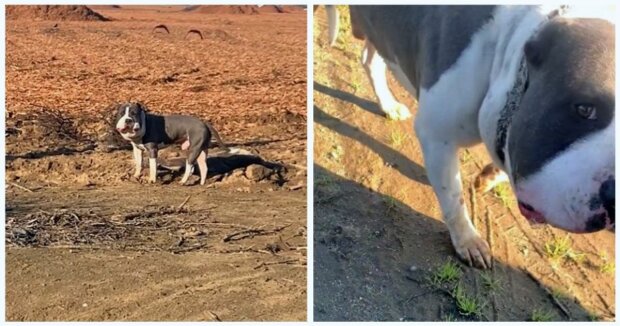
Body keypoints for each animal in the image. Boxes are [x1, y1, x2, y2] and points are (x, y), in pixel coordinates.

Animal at [324, 5, 616, 270]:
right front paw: (468, 241)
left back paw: (388, 104)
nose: (613, 196)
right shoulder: (437, 136)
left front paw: (489, 177)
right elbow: (453, 196)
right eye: (584, 109)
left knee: (370, 59)